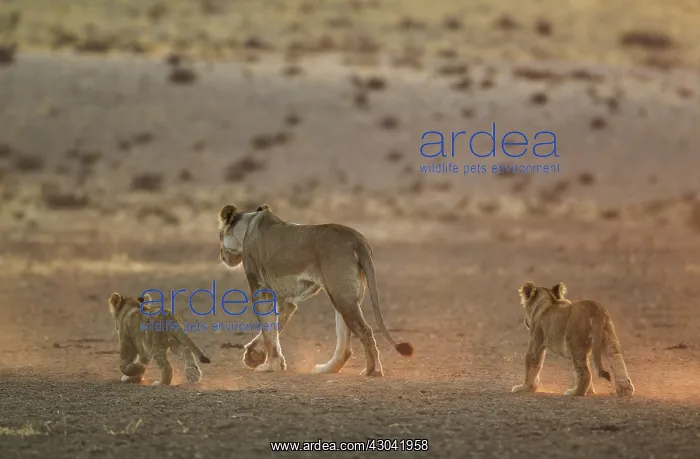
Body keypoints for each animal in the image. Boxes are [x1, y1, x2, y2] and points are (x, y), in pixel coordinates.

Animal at [217, 203, 413, 377]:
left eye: (219, 235)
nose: (222, 256)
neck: (247, 227)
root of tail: (357, 239)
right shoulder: (287, 301)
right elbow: (273, 328)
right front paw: (257, 356)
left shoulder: (260, 289)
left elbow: (268, 330)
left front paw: (269, 365)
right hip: (342, 297)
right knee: (346, 346)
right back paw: (326, 369)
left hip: (342, 296)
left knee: (366, 331)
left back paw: (373, 370)